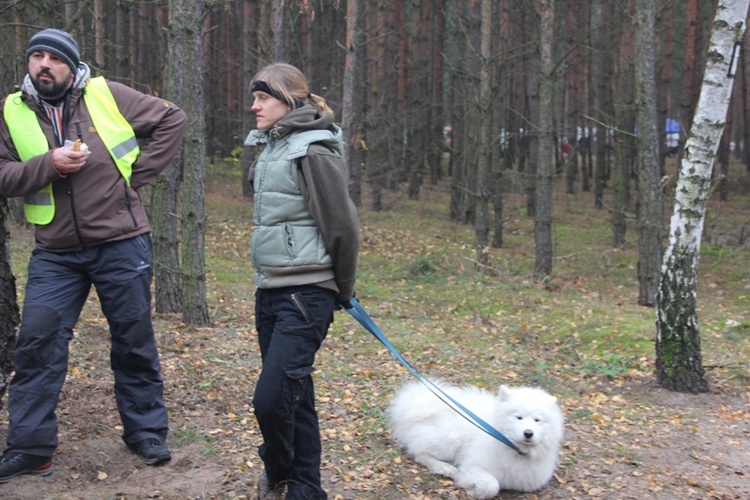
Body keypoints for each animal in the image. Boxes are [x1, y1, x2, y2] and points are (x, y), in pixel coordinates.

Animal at [388, 380, 564, 498]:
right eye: (518, 417)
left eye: (537, 420)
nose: (528, 433)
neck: (514, 450)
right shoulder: (472, 465)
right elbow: (492, 485)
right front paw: (473, 489)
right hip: (451, 437)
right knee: (419, 452)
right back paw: (445, 468)